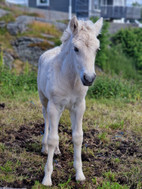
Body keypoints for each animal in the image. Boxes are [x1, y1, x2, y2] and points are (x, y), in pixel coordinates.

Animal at [37, 16, 102, 186]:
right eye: (76, 48)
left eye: (96, 49)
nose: (89, 78)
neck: (70, 79)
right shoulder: (54, 105)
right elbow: (52, 138)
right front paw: (47, 178)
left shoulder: (79, 106)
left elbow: (78, 137)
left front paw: (79, 174)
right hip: (44, 100)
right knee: (46, 119)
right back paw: (45, 148)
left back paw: (57, 151)